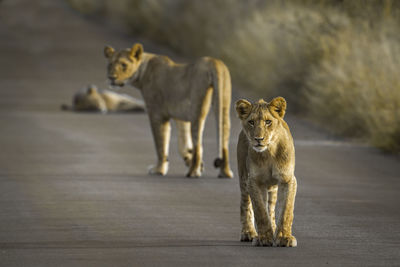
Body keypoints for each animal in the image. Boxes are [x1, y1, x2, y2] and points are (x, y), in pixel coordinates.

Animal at [234, 97, 296, 248]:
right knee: (245, 204)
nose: (258, 139)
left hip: (272, 188)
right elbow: (260, 211)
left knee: (272, 209)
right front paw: (264, 238)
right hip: (243, 178)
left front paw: (283, 237)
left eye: (268, 122)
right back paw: (248, 233)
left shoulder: (288, 179)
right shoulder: (254, 181)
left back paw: (273, 228)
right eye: (251, 122)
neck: (269, 152)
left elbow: (286, 209)